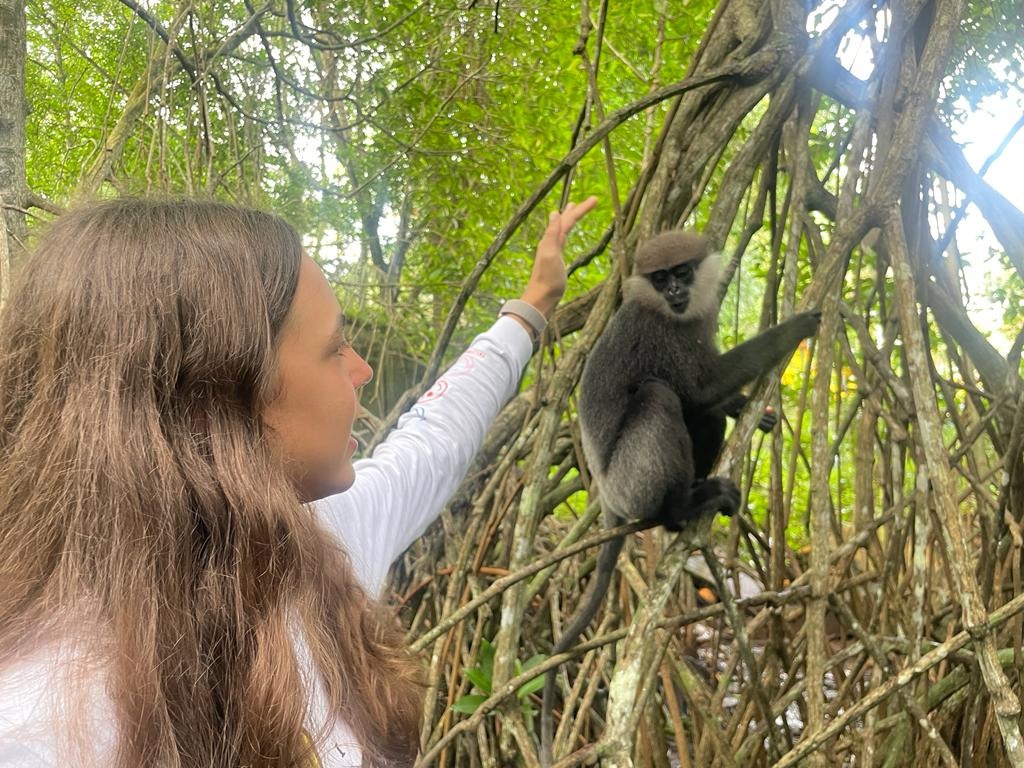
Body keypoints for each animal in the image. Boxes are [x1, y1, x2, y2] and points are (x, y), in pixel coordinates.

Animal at [539, 231, 820, 764]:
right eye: (660, 278)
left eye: (682, 273)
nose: (672, 291)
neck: (675, 313)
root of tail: (609, 501)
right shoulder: (657, 334)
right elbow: (698, 387)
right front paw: (794, 327)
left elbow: (704, 400)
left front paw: (747, 409)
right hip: (632, 480)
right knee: (659, 396)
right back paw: (678, 511)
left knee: (697, 416)